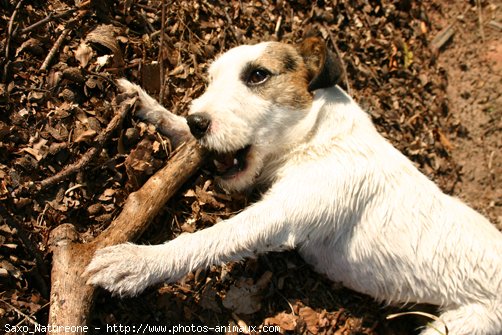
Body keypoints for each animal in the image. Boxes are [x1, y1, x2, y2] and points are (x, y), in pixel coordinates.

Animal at [83, 37, 502, 335]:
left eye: (258, 76)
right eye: (211, 79)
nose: (199, 121)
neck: (319, 136)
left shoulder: (279, 215)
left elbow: (206, 239)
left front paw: (137, 263)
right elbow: (177, 129)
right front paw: (148, 105)